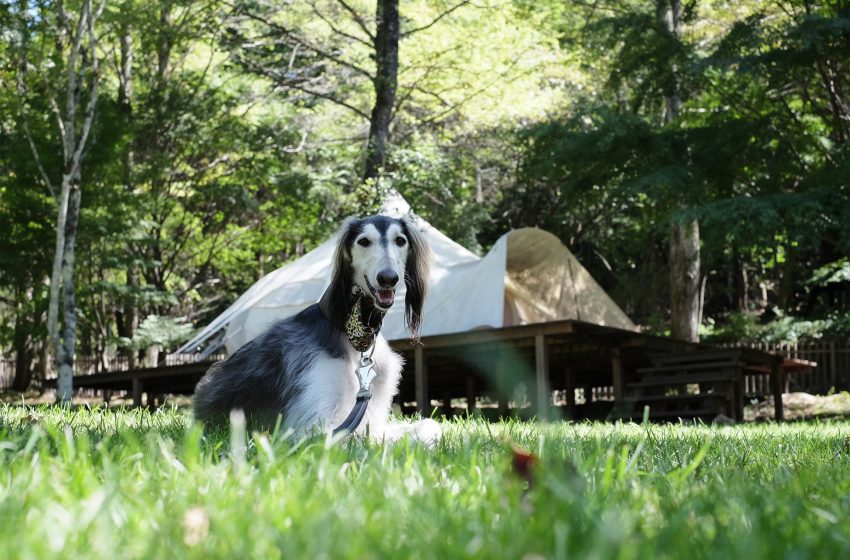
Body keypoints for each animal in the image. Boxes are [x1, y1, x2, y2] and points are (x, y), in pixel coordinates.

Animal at [191, 214, 440, 446]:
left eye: (400, 240)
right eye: (364, 241)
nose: (388, 278)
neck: (349, 332)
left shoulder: (369, 418)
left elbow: (431, 425)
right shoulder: (312, 430)